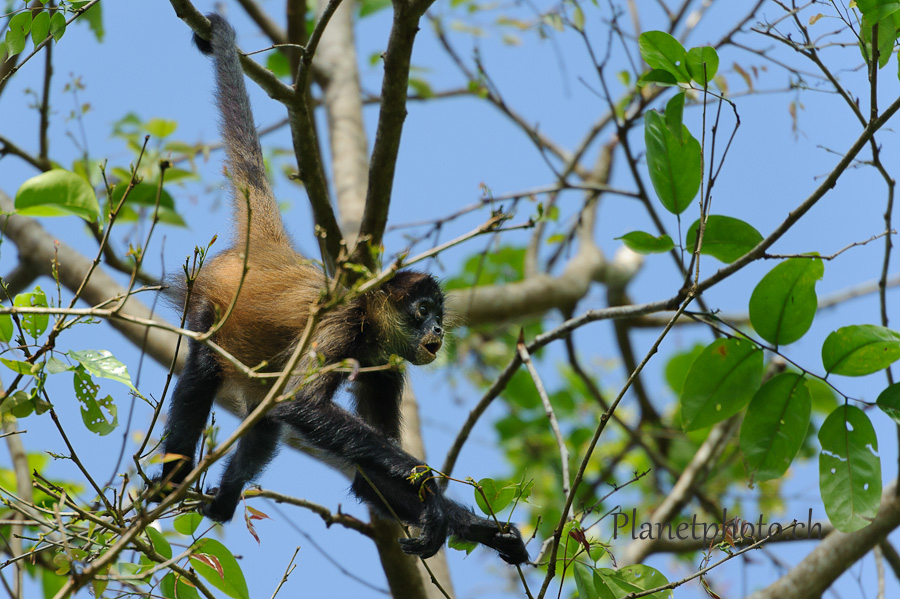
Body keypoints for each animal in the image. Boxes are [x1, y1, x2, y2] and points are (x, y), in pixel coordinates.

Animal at [156, 14, 528, 568]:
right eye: (423, 310)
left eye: (439, 316)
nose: (438, 331)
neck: (367, 327)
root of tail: (267, 251)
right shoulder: (341, 321)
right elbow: (302, 407)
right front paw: (431, 497)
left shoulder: (384, 366)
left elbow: (365, 477)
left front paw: (478, 527)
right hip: (208, 303)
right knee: (205, 372)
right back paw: (172, 480)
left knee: (265, 417)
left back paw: (224, 501)